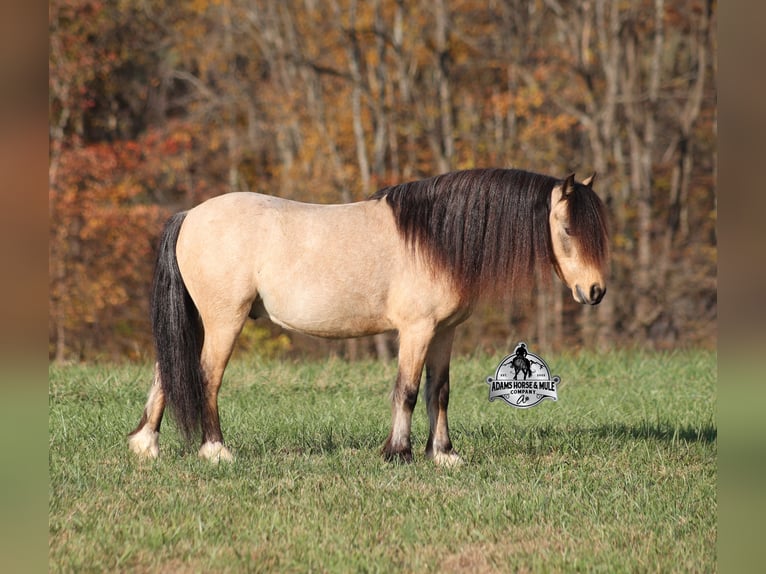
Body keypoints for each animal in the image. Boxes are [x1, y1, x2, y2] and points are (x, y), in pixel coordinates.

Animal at [128, 168, 609, 466]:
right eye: (568, 229)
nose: (595, 292)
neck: (435, 238)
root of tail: (189, 215)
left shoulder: (444, 333)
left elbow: (439, 392)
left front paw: (444, 455)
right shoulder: (416, 330)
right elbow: (408, 391)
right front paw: (398, 453)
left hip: (197, 320)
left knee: (167, 371)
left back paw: (145, 446)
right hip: (223, 320)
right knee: (207, 376)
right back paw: (215, 450)